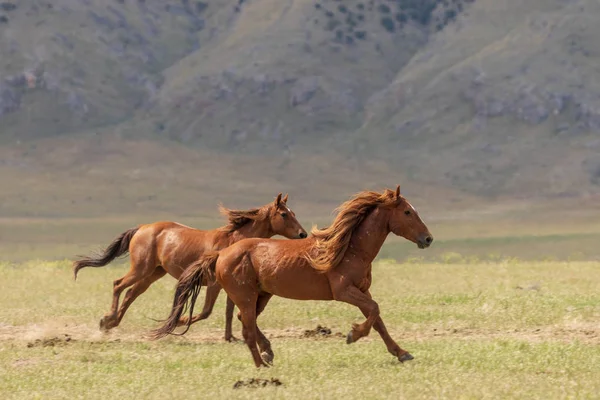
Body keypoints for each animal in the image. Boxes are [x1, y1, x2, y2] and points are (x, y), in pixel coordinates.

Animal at [72, 192, 308, 340]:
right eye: (284, 214)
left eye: (294, 213)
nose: (303, 234)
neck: (234, 240)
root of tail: (142, 227)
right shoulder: (213, 285)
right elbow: (206, 312)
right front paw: (178, 322)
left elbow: (230, 311)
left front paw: (230, 337)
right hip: (141, 269)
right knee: (118, 285)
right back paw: (107, 320)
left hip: (153, 274)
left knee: (131, 294)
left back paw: (111, 324)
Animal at [150, 186, 432, 368]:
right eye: (407, 212)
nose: (428, 239)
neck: (350, 248)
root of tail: (222, 253)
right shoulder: (344, 292)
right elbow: (374, 311)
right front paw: (353, 335)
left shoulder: (362, 291)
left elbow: (378, 320)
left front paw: (401, 353)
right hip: (247, 296)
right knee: (246, 327)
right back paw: (262, 363)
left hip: (262, 295)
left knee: (245, 321)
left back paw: (268, 352)